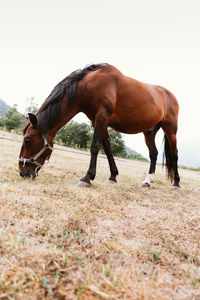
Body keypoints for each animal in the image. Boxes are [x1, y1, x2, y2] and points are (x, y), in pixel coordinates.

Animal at [18, 63, 180, 188]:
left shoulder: (102, 116)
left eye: (27, 139)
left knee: (174, 154)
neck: (89, 86)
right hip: (149, 132)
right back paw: (147, 181)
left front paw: (87, 178)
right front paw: (113, 177)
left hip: (171, 130)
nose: (22, 172)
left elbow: (95, 147)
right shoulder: (97, 120)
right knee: (154, 154)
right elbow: (107, 149)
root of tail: (169, 95)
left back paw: (176, 183)